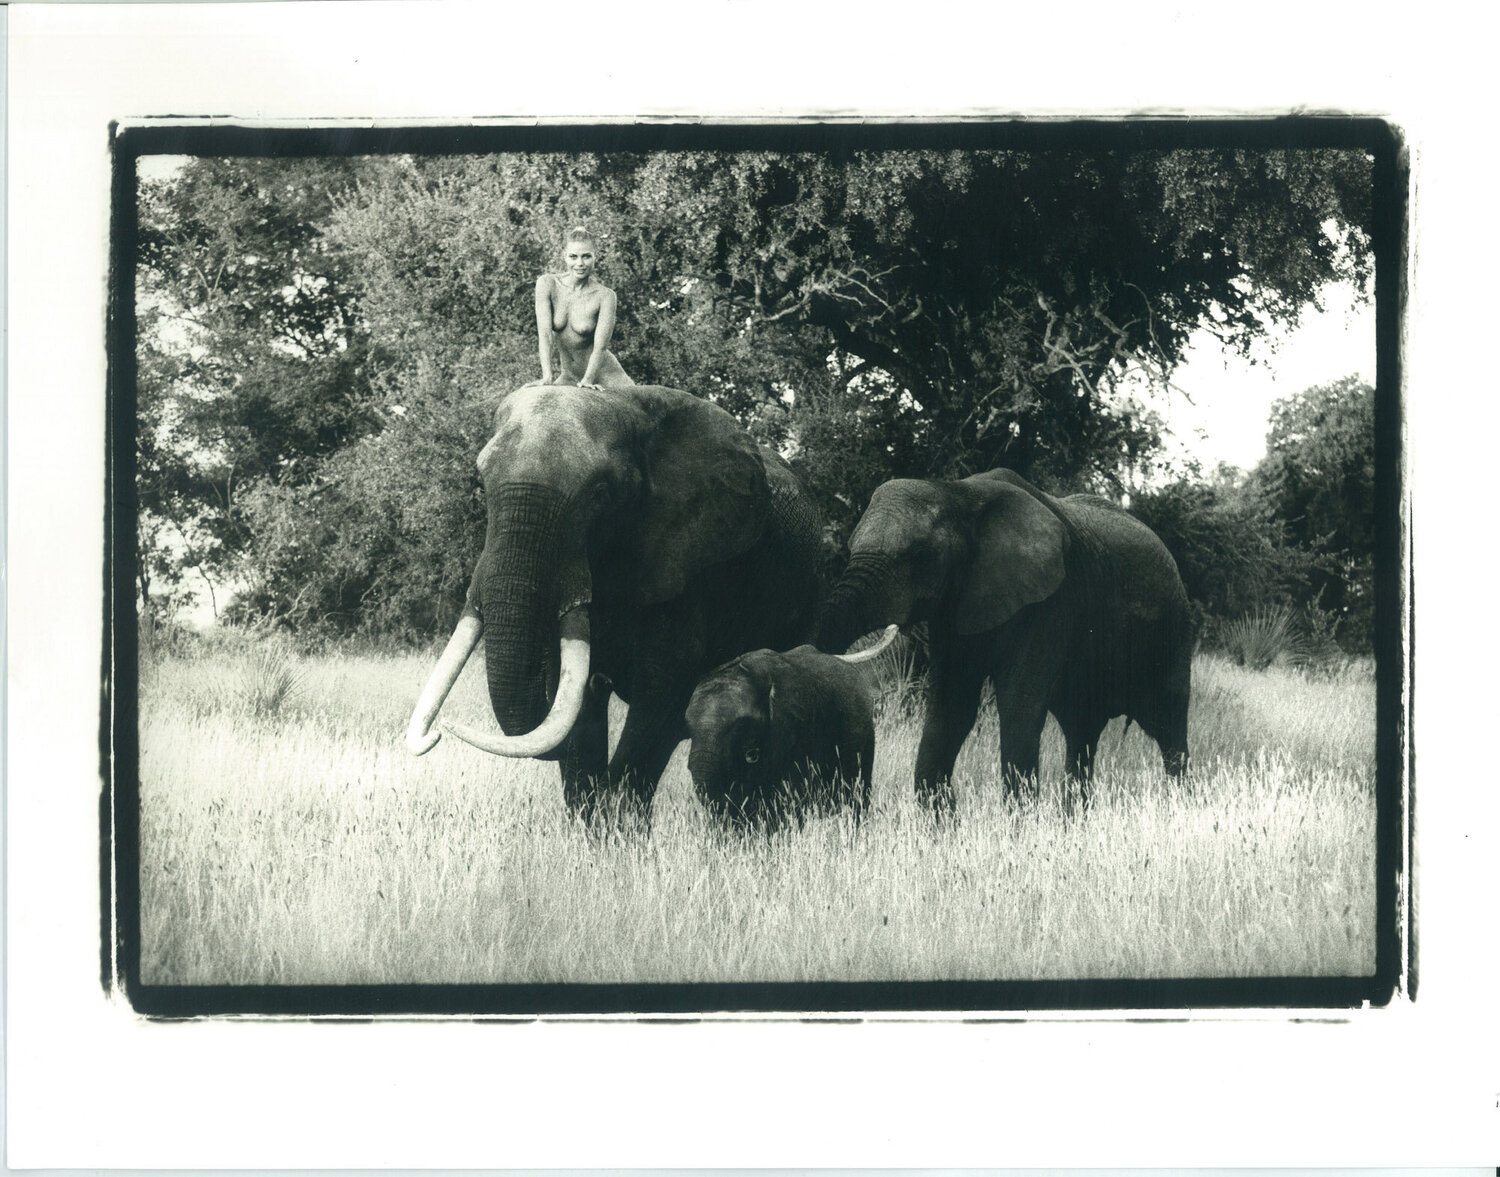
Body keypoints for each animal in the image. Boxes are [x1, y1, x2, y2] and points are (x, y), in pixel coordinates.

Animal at [406, 383, 825, 823]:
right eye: (481, 482)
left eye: (601, 495)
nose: (441, 729)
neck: (629, 404)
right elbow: (579, 707)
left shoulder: (692, 567)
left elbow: (659, 700)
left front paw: (620, 826)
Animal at [815, 468, 1192, 810]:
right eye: (850, 547)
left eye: (919, 556)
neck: (958, 493)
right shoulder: (951, 611)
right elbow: (951, 708)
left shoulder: (1052, 602)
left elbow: (1019, 706)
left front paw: (1020, 830)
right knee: (1082, 734)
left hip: (1173, 629)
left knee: (1169, 725)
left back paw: (1179, 809)